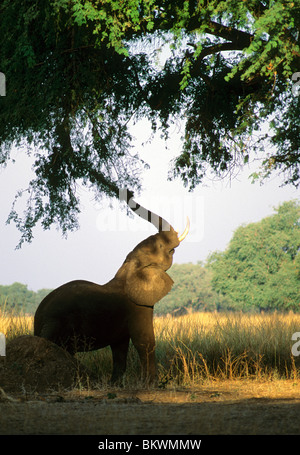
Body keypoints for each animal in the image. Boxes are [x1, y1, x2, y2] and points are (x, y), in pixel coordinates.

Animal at [34, 190, 189, 384]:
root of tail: (37, 318)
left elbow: (120, 349)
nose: (128, 192)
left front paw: (115, 384)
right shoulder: (137, 305)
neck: (129, 267)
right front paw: (150, 383)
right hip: (56, 322)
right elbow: (145, 340)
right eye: (161, 246)